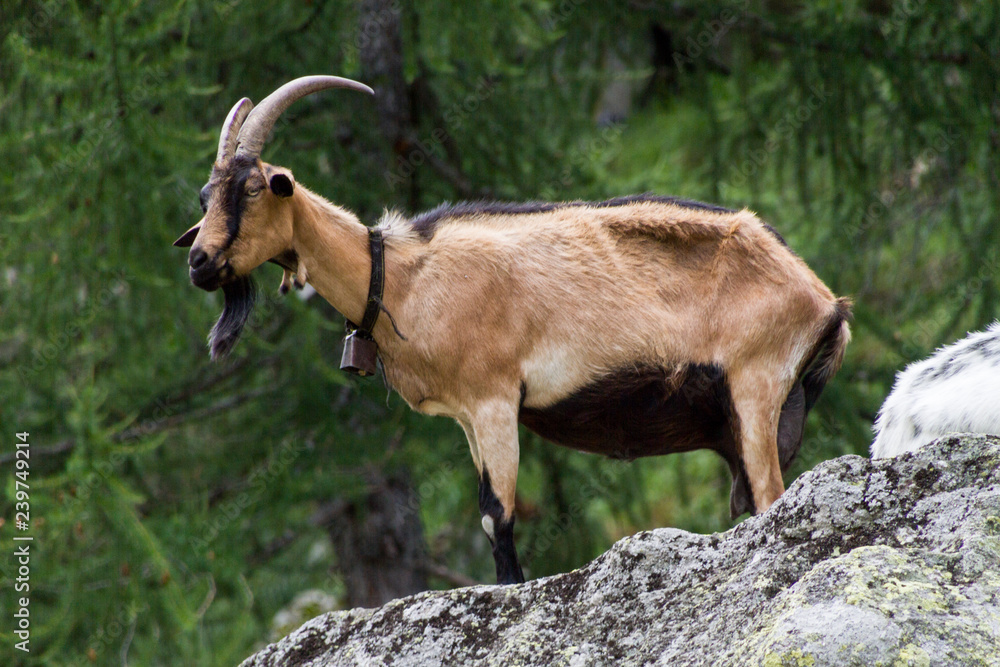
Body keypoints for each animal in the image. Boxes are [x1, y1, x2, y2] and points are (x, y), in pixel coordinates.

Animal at [176, 74, 848, 584]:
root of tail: (823, 300)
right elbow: (485, 514)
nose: (199, 262)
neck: (402, 276)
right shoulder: (469, 417)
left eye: (253, 188)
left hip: (756, 385)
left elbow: (497, 514)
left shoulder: (495, 398)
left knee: (770, 494)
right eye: (207, 195)